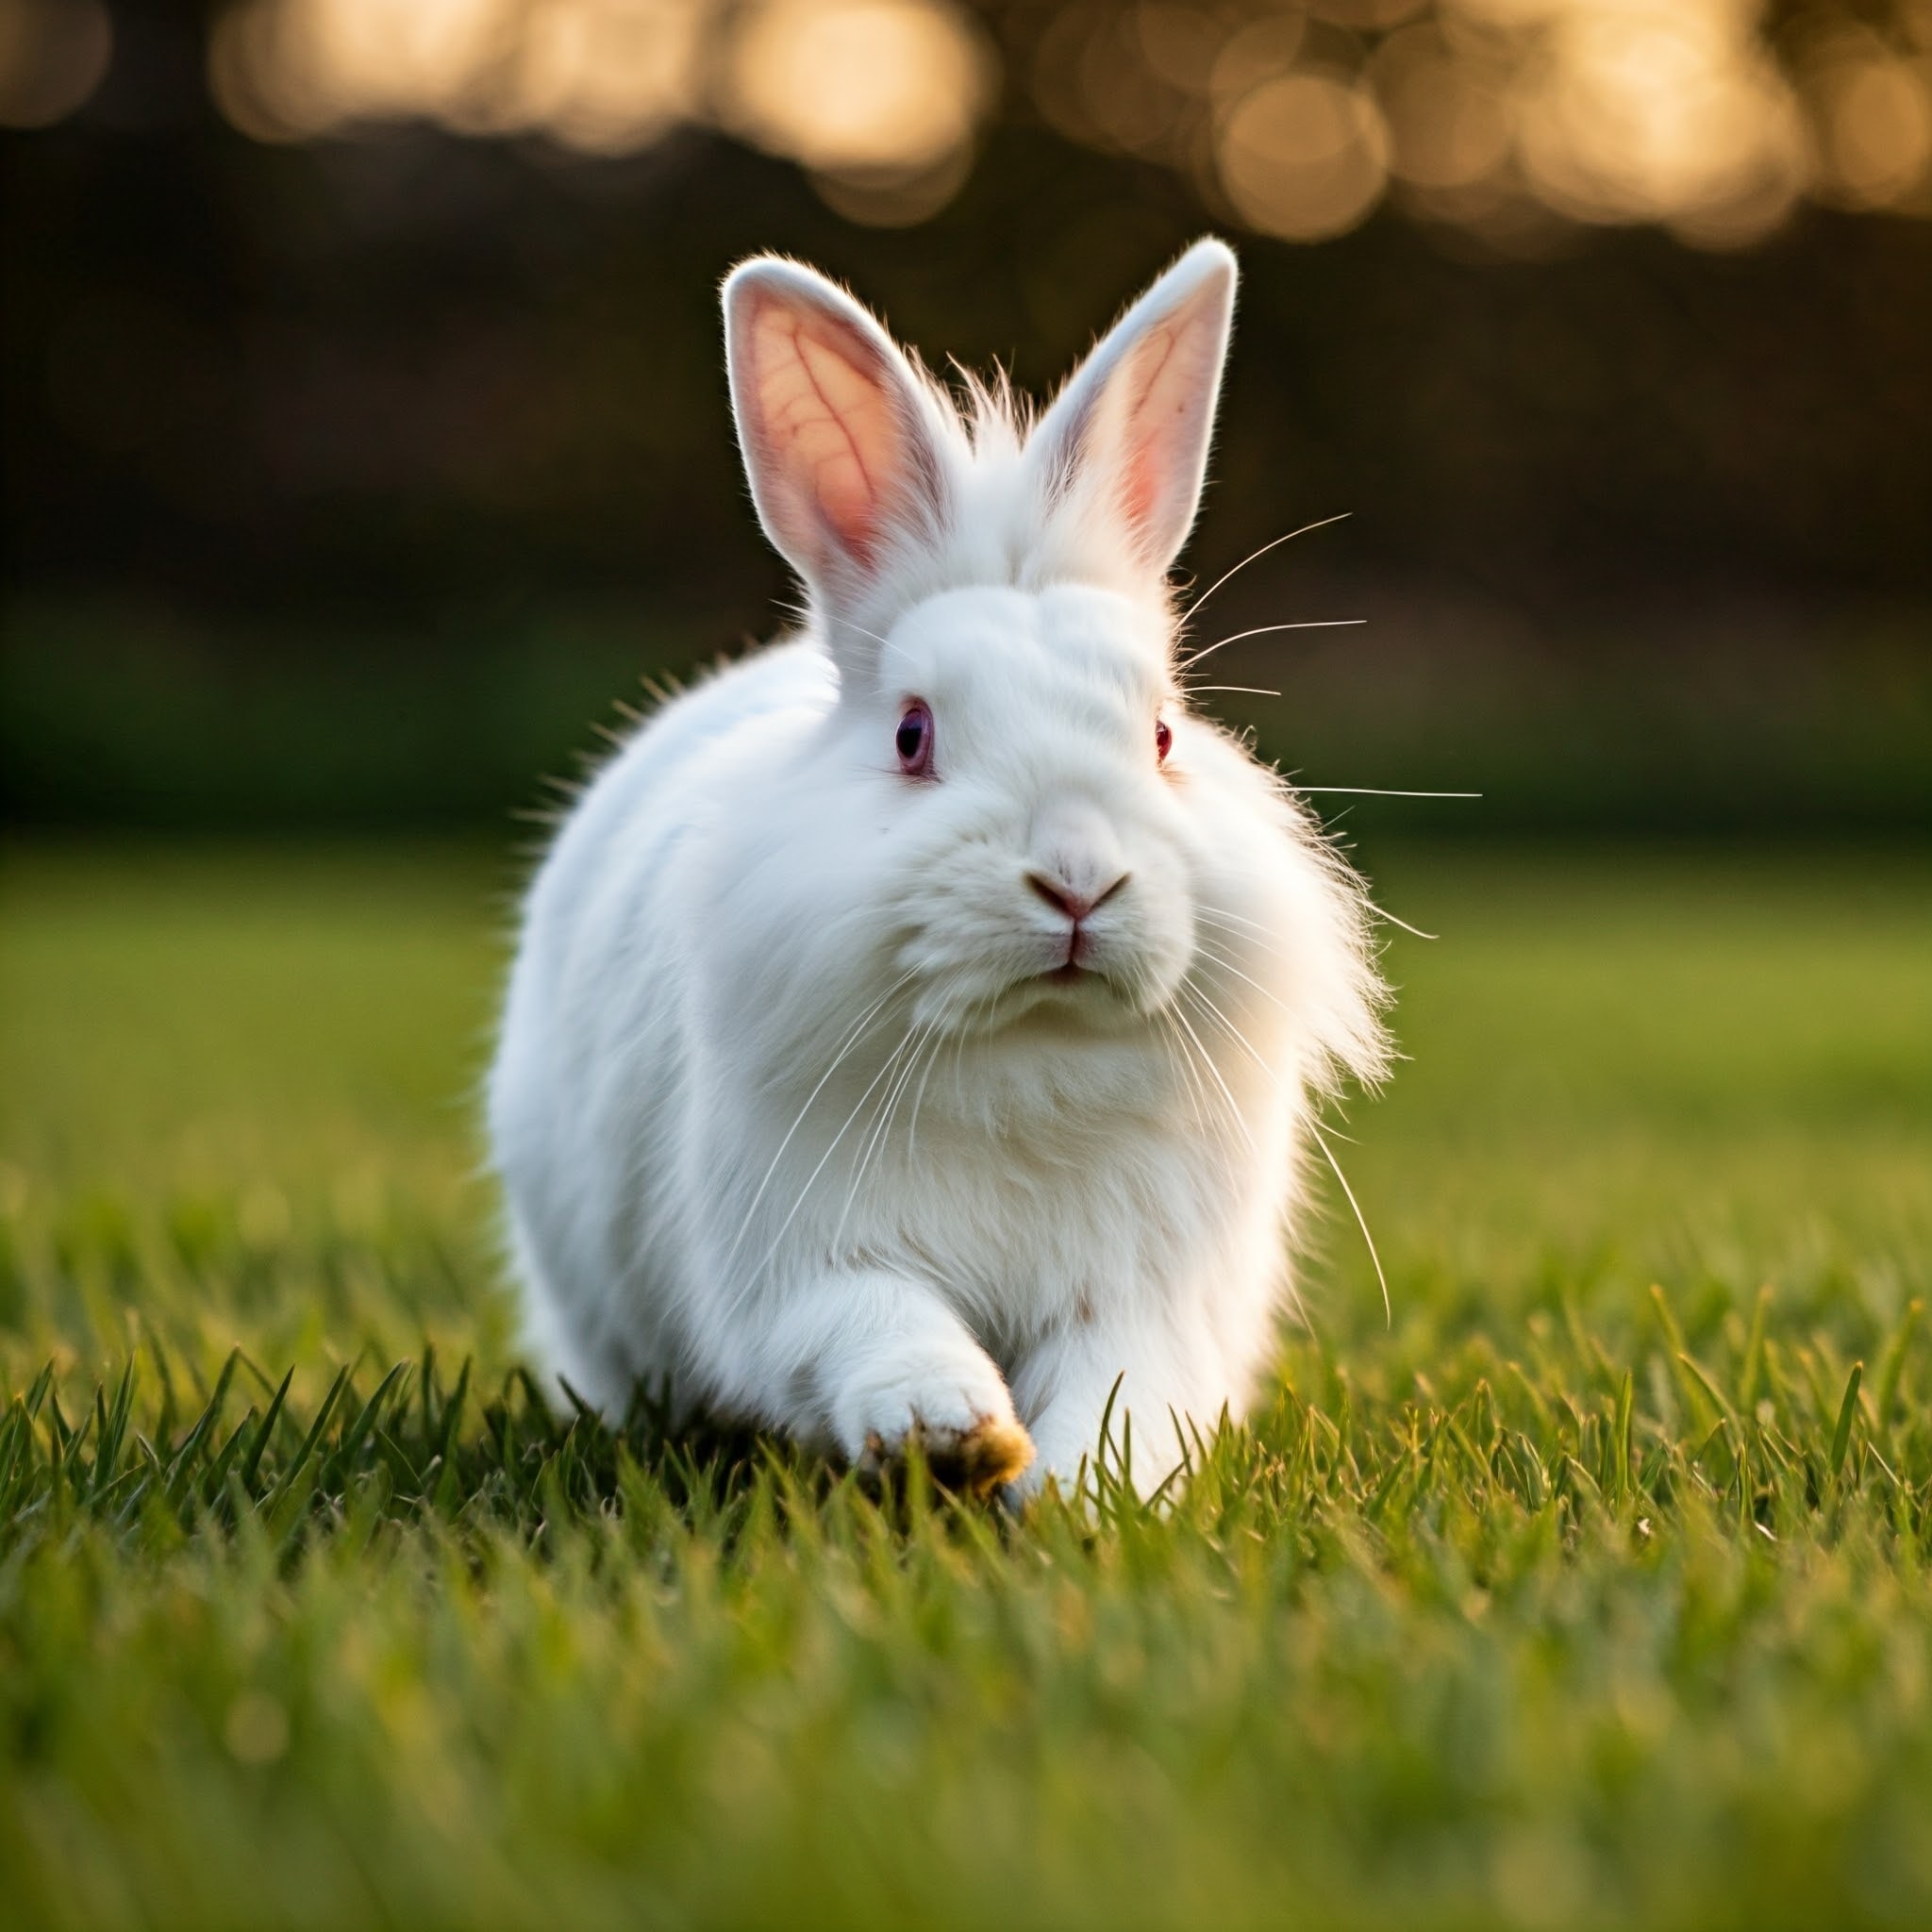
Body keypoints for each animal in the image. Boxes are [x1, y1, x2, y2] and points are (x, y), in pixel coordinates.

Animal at [483, 242, 1391, 1499]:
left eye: (1161, 733)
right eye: (912, 734)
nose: (1075, 880)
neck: (1027, 1057)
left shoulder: (1147, 1297)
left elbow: (1121, 1388)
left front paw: (1078, 1490)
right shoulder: (802, 1271)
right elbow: (878, 1325)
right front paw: (948, 1431)